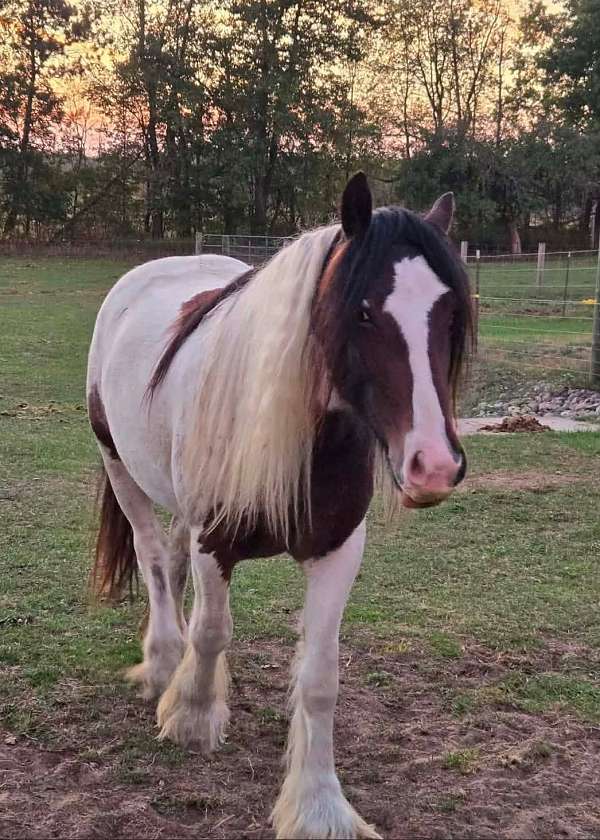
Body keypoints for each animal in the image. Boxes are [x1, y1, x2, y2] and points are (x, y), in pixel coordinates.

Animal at [87, 172, 472, 840]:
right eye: (363, 311)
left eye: (451, 312)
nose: (434, 465)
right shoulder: (215, 540)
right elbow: (213, 629)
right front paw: (192, 716)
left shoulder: (339, 550)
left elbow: (319, 677)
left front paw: (319, 805)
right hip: (120, 466)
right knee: (154, 558)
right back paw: (163, 663)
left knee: (173, 561)